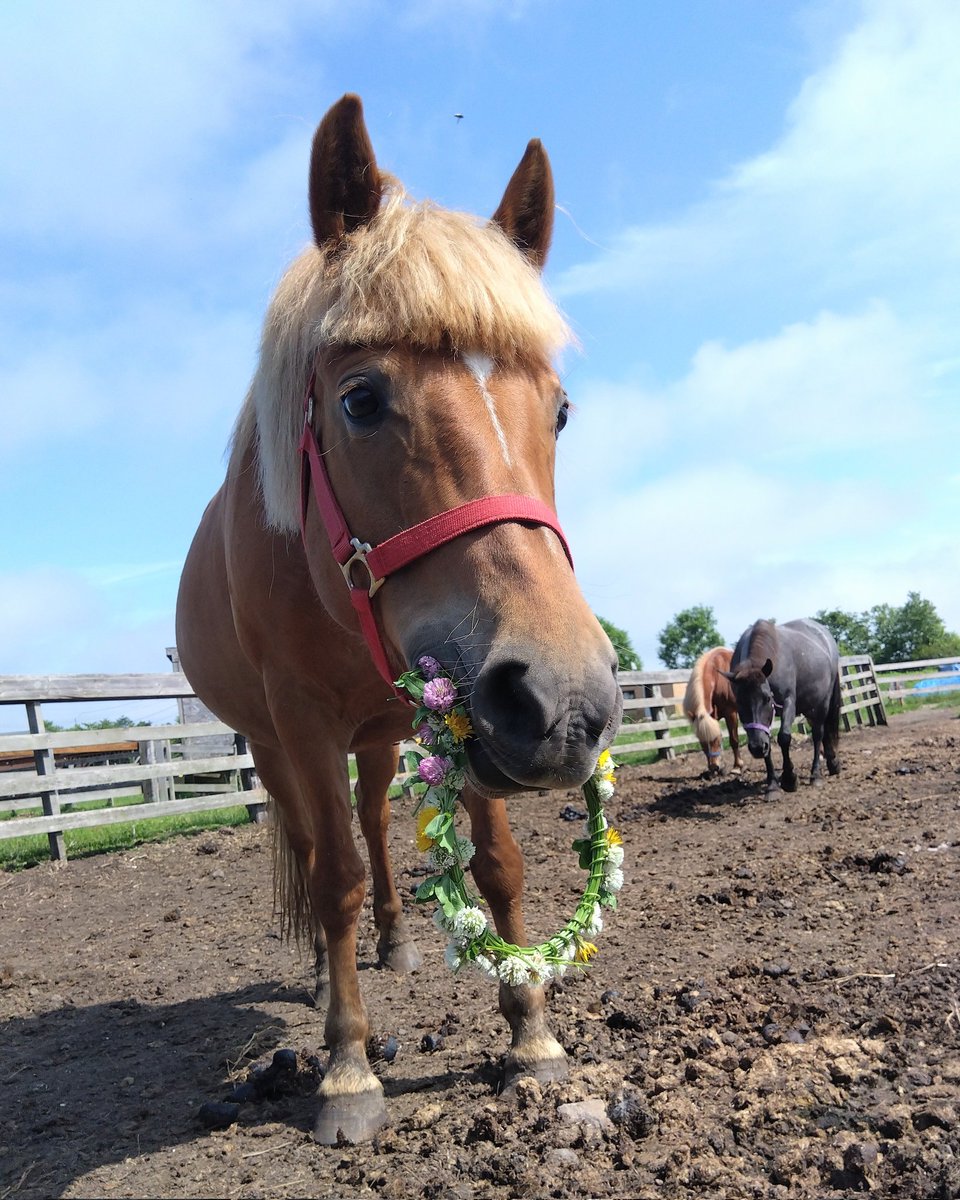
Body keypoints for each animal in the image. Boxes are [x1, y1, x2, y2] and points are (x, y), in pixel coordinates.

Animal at [175, 94, 623, 1144]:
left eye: (561, 410)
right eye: (361, 398)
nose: (570, 699)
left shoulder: (472, 711)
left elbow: (497, 863)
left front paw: (530, 1029)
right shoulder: (302, 718)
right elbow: (331, 875)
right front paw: (347, 1068)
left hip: (385, 733)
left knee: (378, 821)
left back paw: (395, 942)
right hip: (274, 743)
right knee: (316, 846)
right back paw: (328, 982)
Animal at [682, 646, 743, 776]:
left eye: (716, 739)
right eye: (701, 741)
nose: (714, 767)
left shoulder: (731, 713)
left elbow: (734, 740)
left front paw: (737, 767)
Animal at [723, 618, 841, 794]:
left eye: (767, 698)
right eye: (739, 703)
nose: (756, 748)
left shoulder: (788, 701)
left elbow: (784, 738)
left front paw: (789, 779)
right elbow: (768, 745)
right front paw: (773, 785)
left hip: (822, 703)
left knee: (818, 734)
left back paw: (816, 775)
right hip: (810, 706)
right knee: (823, 732)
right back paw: (832, 763)